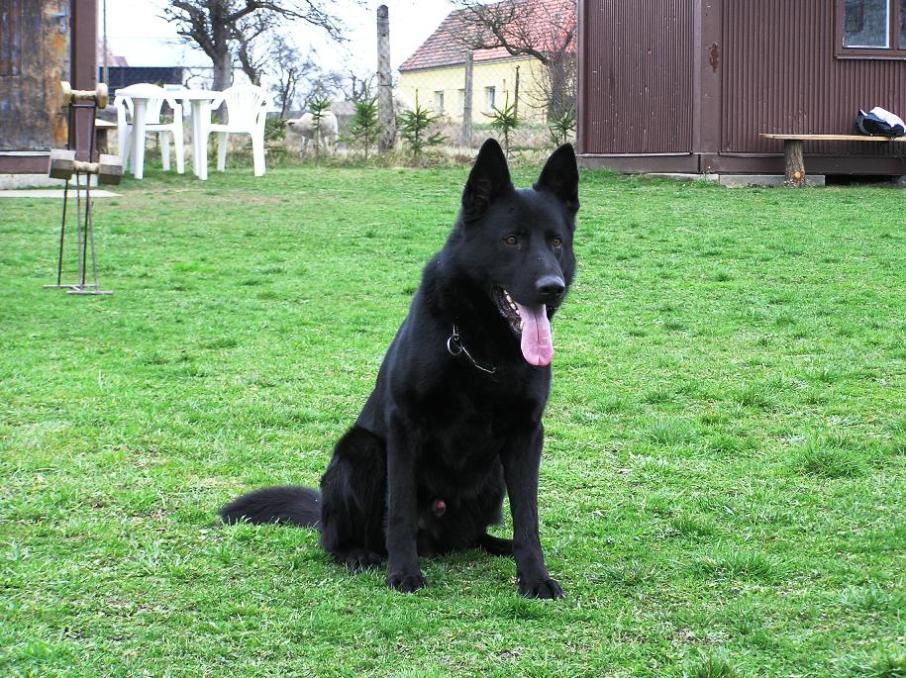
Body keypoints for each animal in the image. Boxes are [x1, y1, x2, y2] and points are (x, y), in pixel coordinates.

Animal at [221, 139, 579, 598]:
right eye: (511, 240)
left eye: (556, 242)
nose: (552, 287)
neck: (483, 346)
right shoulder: (404, 426)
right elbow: (401, 509)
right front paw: (404, 572)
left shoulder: (526, 435)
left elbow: (528, 518)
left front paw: (534, 576)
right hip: (360, 451)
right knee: (338, 539)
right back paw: (360, 554)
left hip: (494, 474)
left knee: (473, 537)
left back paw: (494, 545)